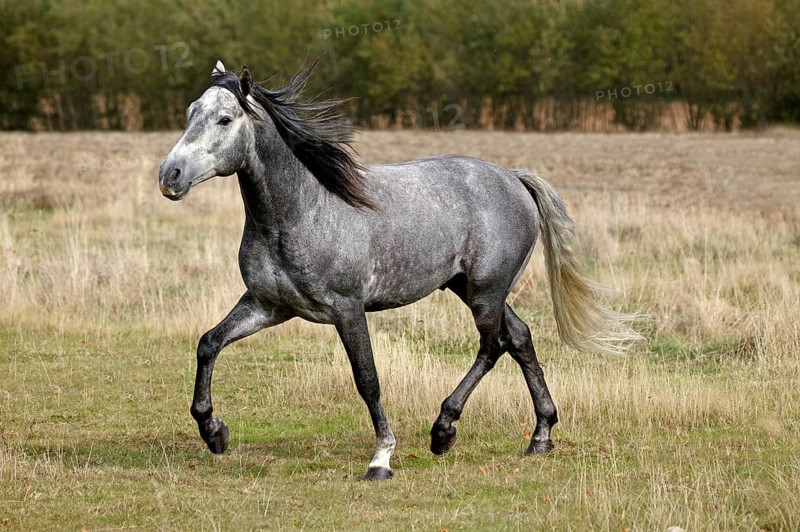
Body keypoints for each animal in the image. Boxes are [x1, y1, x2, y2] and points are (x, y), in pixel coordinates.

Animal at [158, 60, 639, 481]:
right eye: (190, 112)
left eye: (224, 119)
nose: (169, 175)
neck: (301, 211)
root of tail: (512, 177)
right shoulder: (267, 306)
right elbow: (208, 343)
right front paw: (214, 432)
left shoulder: (346, 310)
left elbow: (367, 380)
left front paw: (381, 459)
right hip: (469, 288)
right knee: (519, 338)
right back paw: (539, 436)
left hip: (486, 293)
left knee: (494, 345)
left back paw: (444, 430)